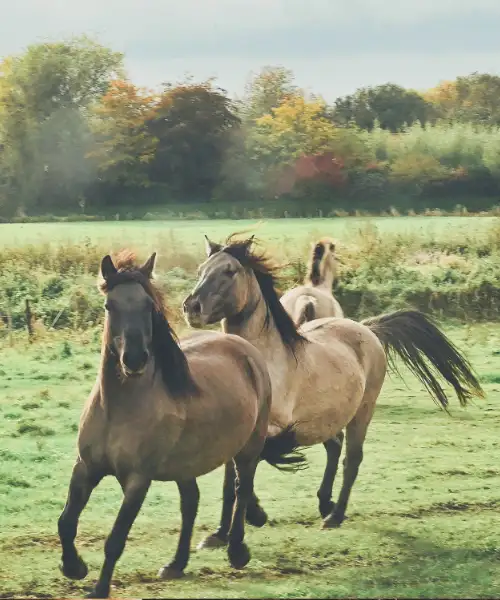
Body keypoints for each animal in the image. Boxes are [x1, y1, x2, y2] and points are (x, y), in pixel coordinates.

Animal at [54, 248, 304, 596]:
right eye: (109, 306)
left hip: (247, 449)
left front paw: (99, 589)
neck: (118, 409)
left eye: (149, 306)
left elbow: (116, 538)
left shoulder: (137, 481)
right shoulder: (86, 467)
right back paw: (176, 564)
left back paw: (236, 550)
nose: (134, 359)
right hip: (185, 464)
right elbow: (65, 522)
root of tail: (243, 348)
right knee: (191, 502)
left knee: (241, 488)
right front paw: (73, 567)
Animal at [183, 234, 484, 544]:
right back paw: (324, 503)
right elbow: (230, 478)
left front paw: (255, 516)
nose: (191, 307)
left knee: (352, 459)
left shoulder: (275, 427)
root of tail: (367, 330)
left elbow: (249, 468)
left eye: (230, 271)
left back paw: (334, 515)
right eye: (201, 270)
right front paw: (219, 535)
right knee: (335, 446)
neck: (264, 362)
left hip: (363, 412)